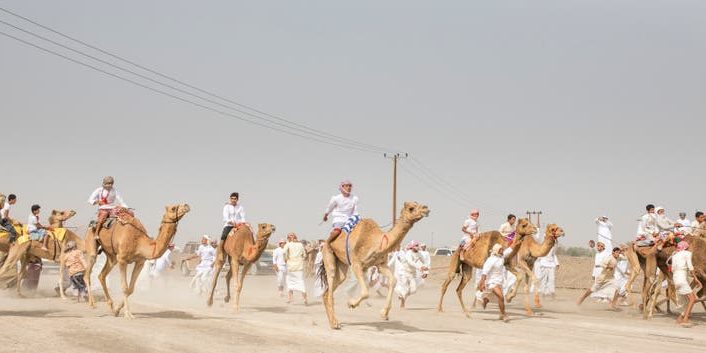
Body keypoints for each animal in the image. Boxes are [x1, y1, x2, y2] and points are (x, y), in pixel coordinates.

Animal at [318, 201, 428, 330]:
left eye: (419, 204)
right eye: (411, 208)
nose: (426, 209)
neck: (378, 242)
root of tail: (326, 241)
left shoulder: (380, 265)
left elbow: (393, 280)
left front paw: (384, 313)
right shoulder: (356, 264)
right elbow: (365, 292)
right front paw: (351, 304)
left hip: (341, 264)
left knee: (330, 289)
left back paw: (333, 321)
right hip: (328, 255)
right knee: (330, 285)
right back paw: (334, 323)